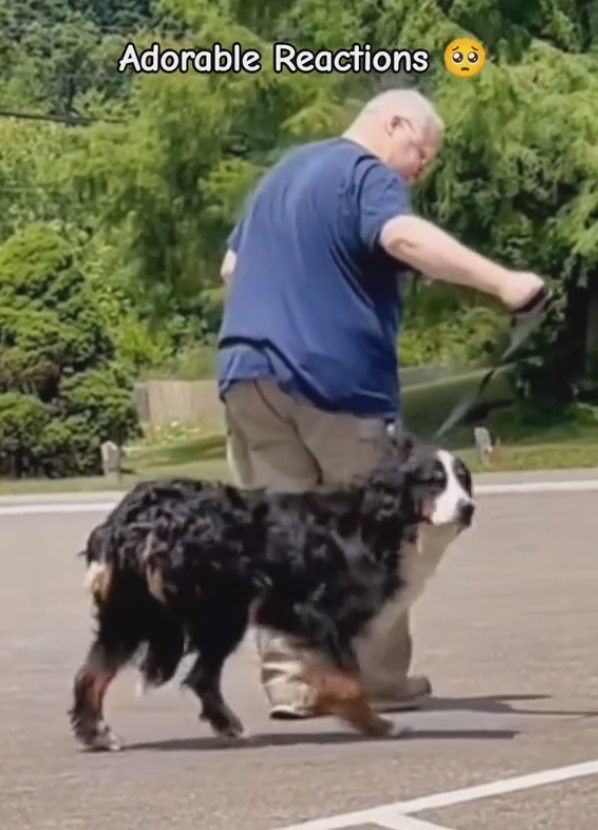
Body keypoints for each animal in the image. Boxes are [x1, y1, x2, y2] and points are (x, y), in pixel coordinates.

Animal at [69, 432, 474, 752]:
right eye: (434, 481)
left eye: (463, 480)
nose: (468, 508)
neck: (381, 525)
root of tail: (130, 513)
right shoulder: (325, 617)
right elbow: (349, 682)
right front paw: (375, 724)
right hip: (212, 610)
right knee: (189, 675)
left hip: (145, 613)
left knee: (97, 675)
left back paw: (102, 735)